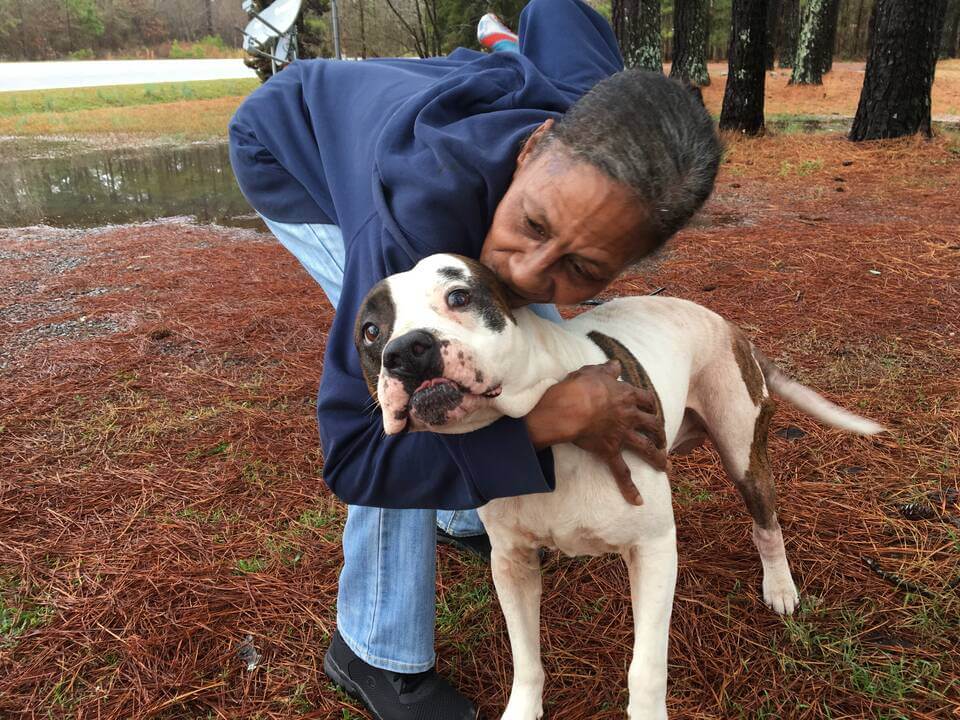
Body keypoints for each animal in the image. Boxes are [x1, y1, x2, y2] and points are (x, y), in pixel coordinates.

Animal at [354, 253, 884, 720]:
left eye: (459, 296)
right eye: (371, 331)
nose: (405, 352)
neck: (548, 442)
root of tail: (728, 325)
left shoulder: (653, 550)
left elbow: (645, 668)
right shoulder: (511, 564)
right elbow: (526, 660)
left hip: (742, 451)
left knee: (766, 523)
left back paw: (779, 586)